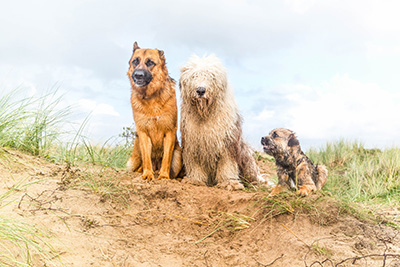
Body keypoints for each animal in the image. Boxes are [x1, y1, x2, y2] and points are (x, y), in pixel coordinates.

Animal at [127, 42, 182, 180]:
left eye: (150, 62)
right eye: (135, 61)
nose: (138, 75)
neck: (151, 97)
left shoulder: (169, 131)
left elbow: (166, 158)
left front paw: (164, 176)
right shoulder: (143, 132)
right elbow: (147, 158)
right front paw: (147, 175)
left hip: (178, 158)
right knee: (140, 166)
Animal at [180, 54, 262, 189]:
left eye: (211, 76)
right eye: (194, 76)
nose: (201, 90)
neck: (206, 114)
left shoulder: (227, 142)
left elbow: (227, 163)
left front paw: (229, 182)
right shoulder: (193, 143)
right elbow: (195, 163)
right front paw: (195, 180)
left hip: (246, 156)